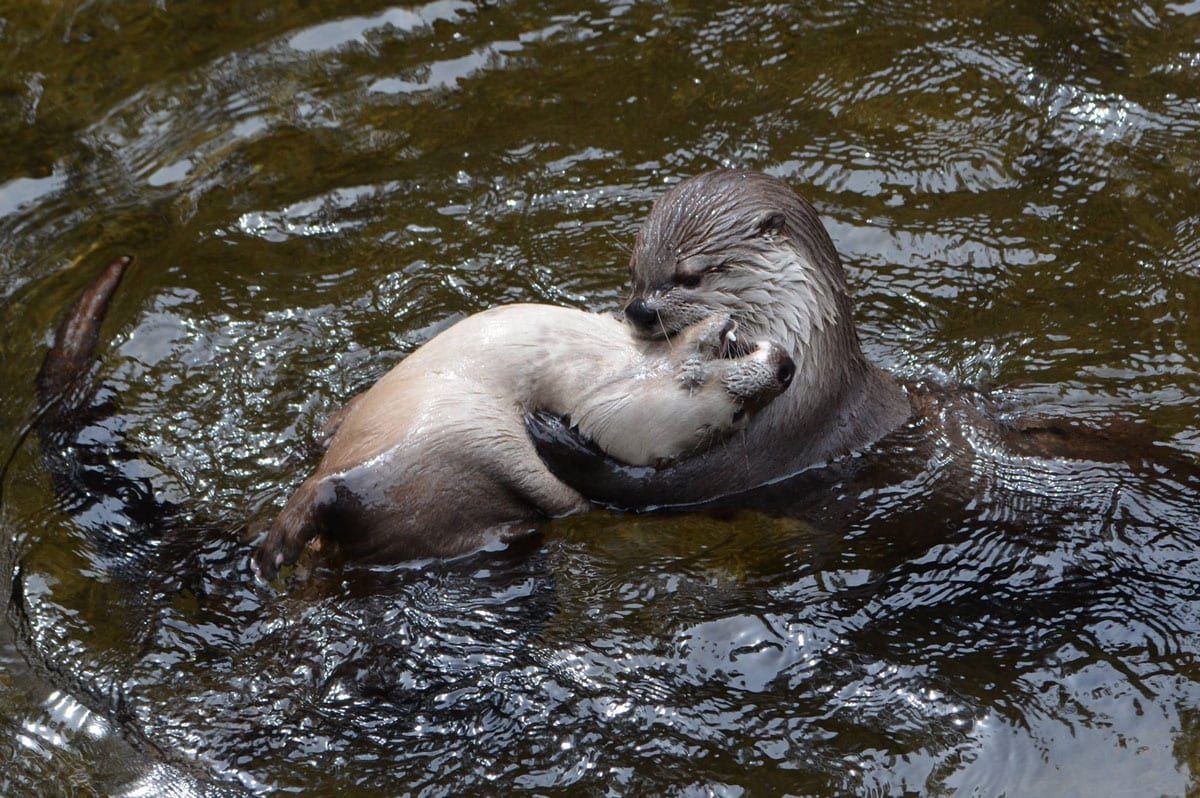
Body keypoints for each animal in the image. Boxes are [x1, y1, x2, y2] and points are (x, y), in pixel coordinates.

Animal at [529, 169, 912, 508]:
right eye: (633, 271)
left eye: (691, 277)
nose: (640, 310)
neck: (809, 385)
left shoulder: (775, 448)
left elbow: (648, 485)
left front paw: (555, 434)